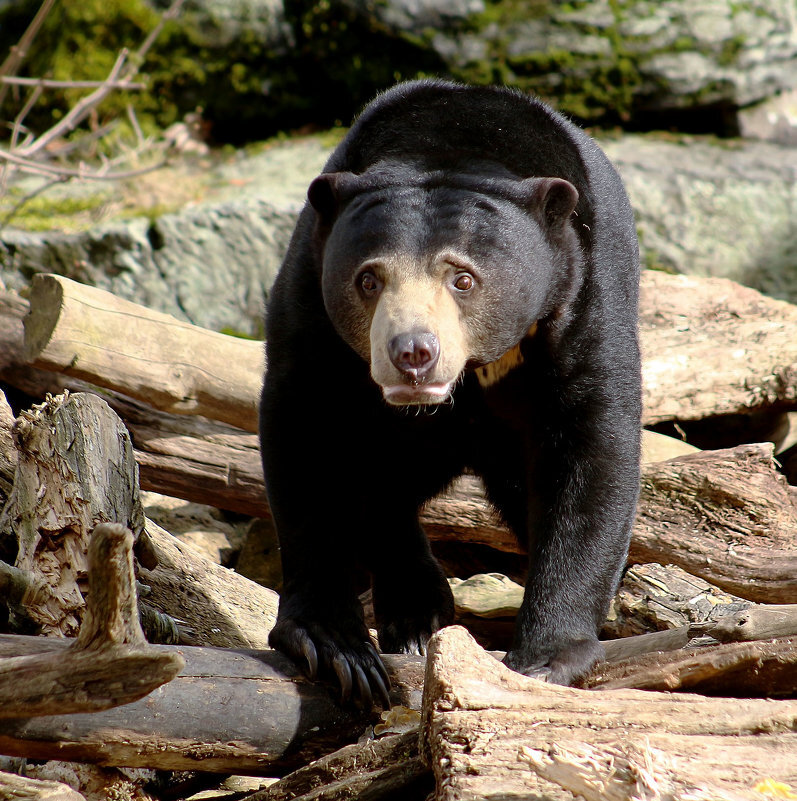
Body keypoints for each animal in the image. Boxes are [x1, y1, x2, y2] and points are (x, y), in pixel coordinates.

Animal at [262, 79, 640, 708]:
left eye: (463, 278)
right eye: (368, 279)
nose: (413, 352)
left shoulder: (586, 295)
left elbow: (592, 448)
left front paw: (546, 660)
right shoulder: (310, 297)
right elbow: (307, 431)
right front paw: (336, 649)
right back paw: (416, 613)